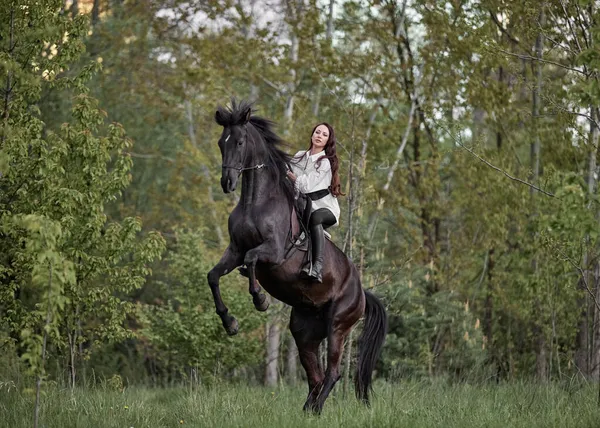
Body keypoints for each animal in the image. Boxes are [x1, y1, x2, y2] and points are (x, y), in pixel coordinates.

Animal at [206, 100, 386, 414]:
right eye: (220, 142)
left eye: (239, 142)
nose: (227, 182)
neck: (256, 201)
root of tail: (362, 292)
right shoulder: (234, 251)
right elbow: (213, 276)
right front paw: (230, 323)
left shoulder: (273, 252)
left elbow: (252, 260)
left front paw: (260, 300)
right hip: (304, 331)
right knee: (314, 374)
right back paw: (308, 411)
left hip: (338, 325)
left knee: (333, 372)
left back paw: (316, 410)